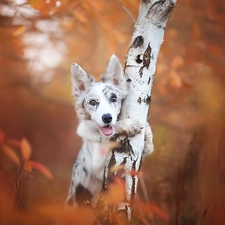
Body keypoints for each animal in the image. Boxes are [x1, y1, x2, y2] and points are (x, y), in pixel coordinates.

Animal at [65, 54, 153, 207]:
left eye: (113, 98)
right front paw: (127, 124)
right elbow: (109, 137)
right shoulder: (100, 168)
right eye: (93, 102)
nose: (107, 118)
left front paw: (147, 136)